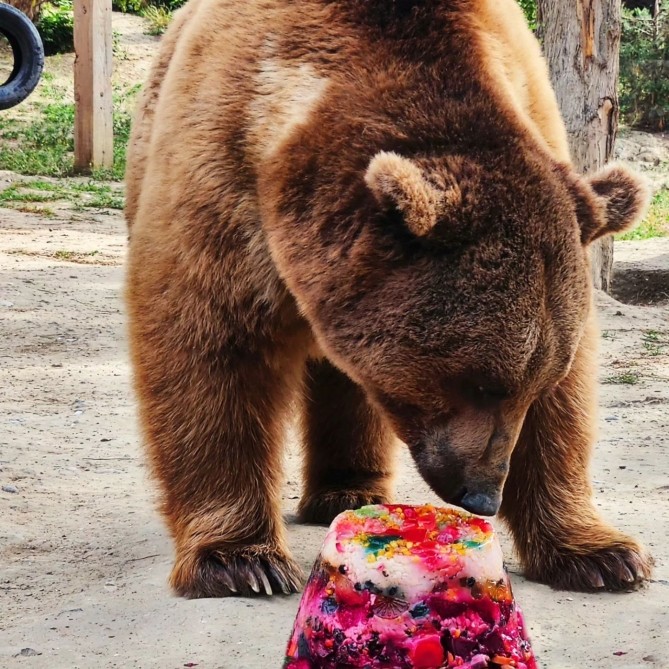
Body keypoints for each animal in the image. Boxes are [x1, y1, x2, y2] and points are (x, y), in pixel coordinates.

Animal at [124, 0, 648, 596]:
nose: (482, 494)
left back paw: (351, 489)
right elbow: (212, 349)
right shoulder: (226, 168)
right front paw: (240, 561)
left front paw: (604, 555)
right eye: (480, 382)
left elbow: (566, 406)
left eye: (533, 382)